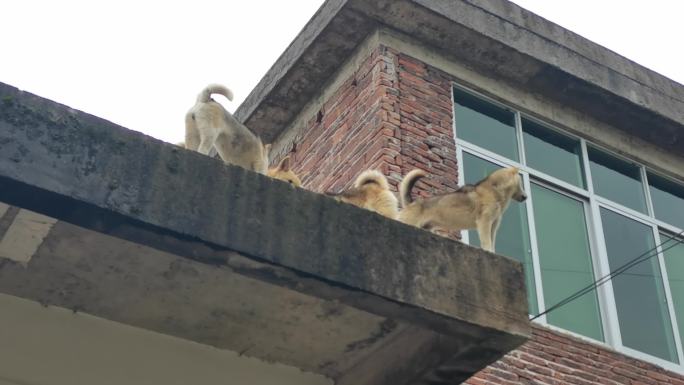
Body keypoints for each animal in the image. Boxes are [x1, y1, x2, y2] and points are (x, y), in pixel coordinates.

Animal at [398, 166, 528, 252]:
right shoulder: (484, 222)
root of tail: (412, 203)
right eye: (521, 183)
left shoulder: (493, 226)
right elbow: (487, 242)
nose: (526, 197)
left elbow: (492, 243)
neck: (495, 191)